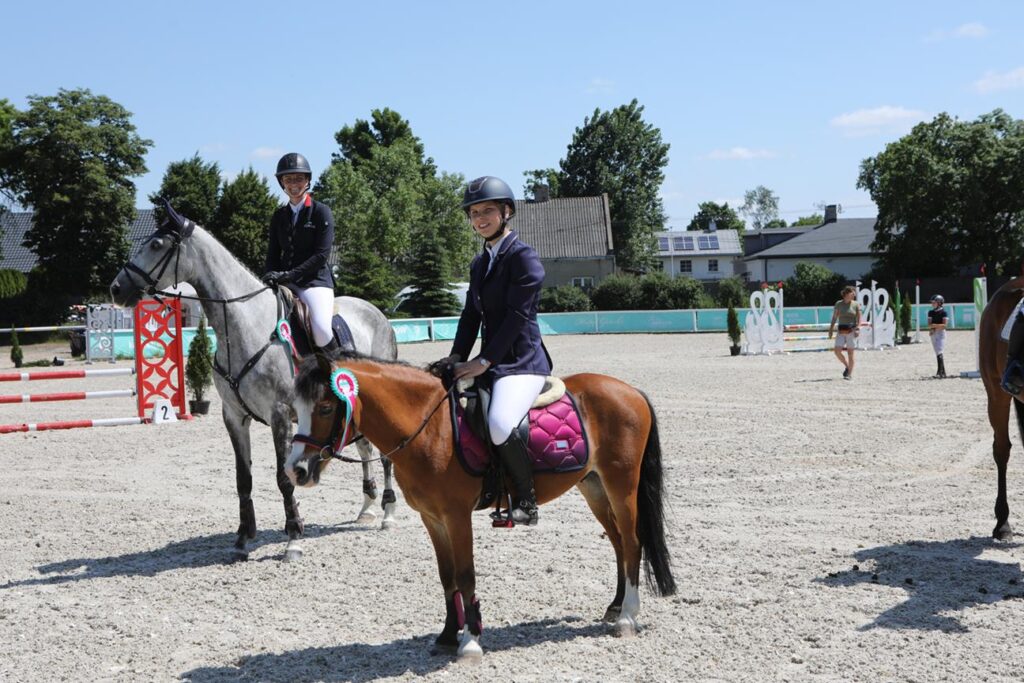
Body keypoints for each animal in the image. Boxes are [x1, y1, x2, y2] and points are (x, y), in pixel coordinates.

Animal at [109, 205, 399, 562]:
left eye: (156, 245)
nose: (116, 288)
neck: (245, 324)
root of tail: (378, 313)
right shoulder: (233, 415)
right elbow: (243, 479)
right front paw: (243, 539)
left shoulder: (279, 414)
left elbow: (284, 478)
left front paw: (293, 539)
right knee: (365, 447)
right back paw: (368, 507)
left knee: (384, 454)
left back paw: (387, 514)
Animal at [285, 354, 676, 659]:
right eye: (295, 410)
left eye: (325, 407)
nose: (295, 470)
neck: (430, 428)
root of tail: (631, 391)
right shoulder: (432, 518)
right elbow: (446, 576)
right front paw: (446, 635)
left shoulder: (456, 516)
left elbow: (465, 574)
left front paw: (470, 641)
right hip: (593, 487)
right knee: (618, 543)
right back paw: (615, 607)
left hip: (621, 485)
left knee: (632, 542)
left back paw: (627, 618)